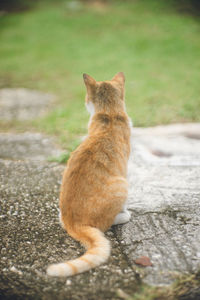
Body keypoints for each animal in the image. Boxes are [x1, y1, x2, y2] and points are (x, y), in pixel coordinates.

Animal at [46, 72, 131, 276]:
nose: (85, 102)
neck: (110, 114)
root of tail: (73, 223)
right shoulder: (125, 169)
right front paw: (125, 210)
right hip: (122, 185)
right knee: (106, 224)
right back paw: (123, 216)